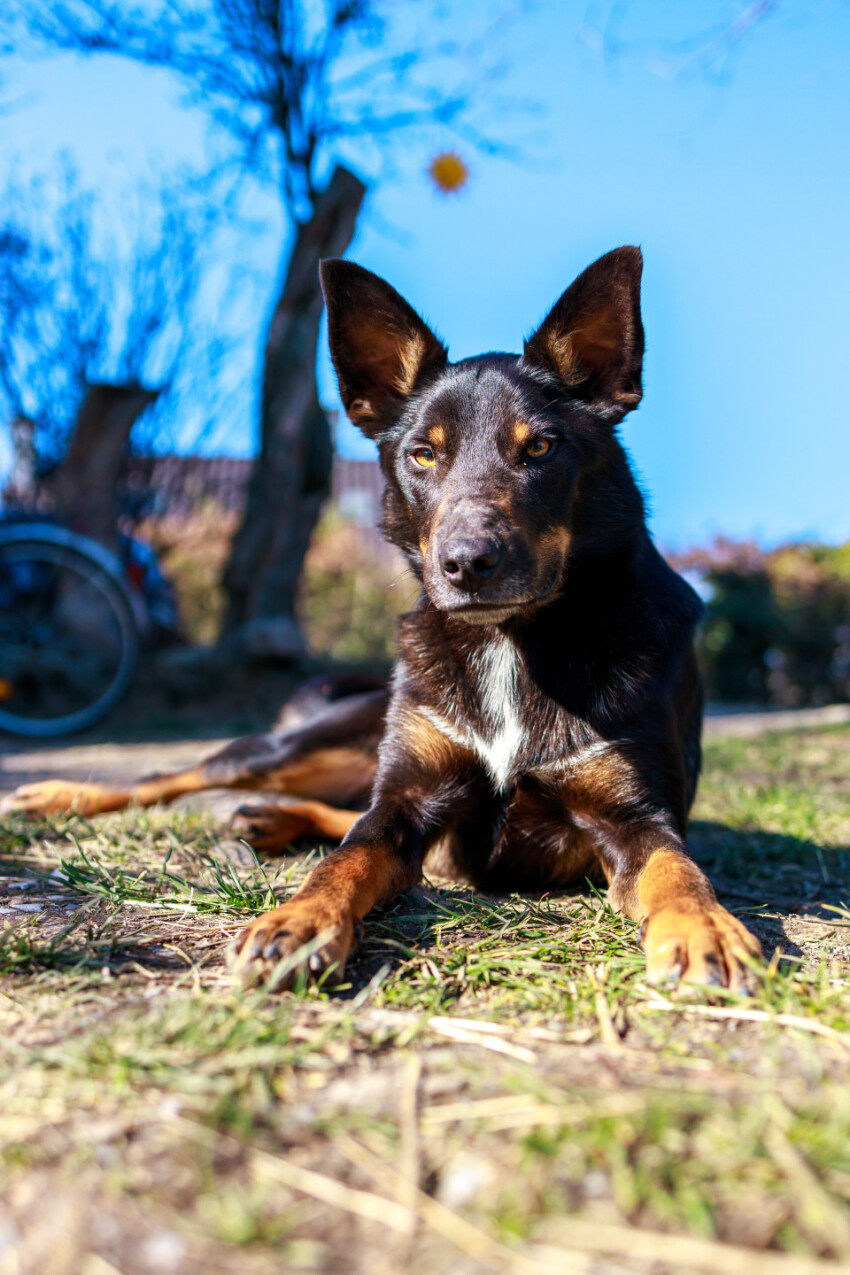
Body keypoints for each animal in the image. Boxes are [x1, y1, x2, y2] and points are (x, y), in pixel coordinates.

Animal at [1, 246, 764, 984]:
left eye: (541, 447)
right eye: (422, 454)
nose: (466, 563)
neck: (510, 642)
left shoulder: (634, 818)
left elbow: (679, 872)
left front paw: (705, 931)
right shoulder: (409, 796)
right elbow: (346, 857)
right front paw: (297, 920)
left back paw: (270, 818)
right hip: (306, 744)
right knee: (185, 776)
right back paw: (58, 796)